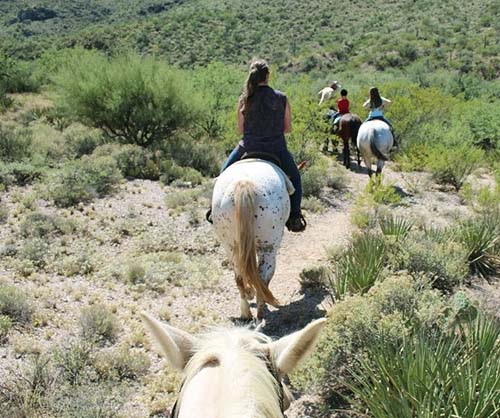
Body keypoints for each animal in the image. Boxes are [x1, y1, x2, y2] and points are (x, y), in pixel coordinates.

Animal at [210, 159, 292, 320]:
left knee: (239, 278)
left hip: (230, 245)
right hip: (269, 246)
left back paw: (246, 312)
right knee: (263, 276)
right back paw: (260, 314)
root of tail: (243, 183)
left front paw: (250, 294)